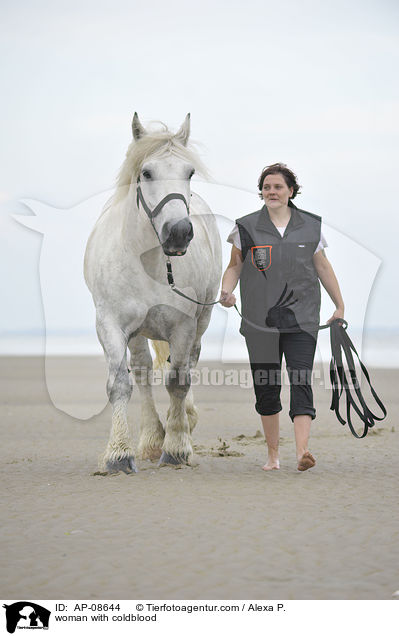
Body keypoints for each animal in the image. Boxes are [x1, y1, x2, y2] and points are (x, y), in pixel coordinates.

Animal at [84, 113, 223, 472]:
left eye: (189, 173)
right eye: (146, 173)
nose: (179, 232)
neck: (148, 261)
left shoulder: (184, 325)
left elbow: (178, 380)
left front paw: (176, 448)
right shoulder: (110, 323)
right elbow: (121, 383)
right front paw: (119, 454)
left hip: (201, 320)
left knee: (187, 364)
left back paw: (183, 423)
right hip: (136, 333)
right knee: (143, 370)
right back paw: (149, 439)